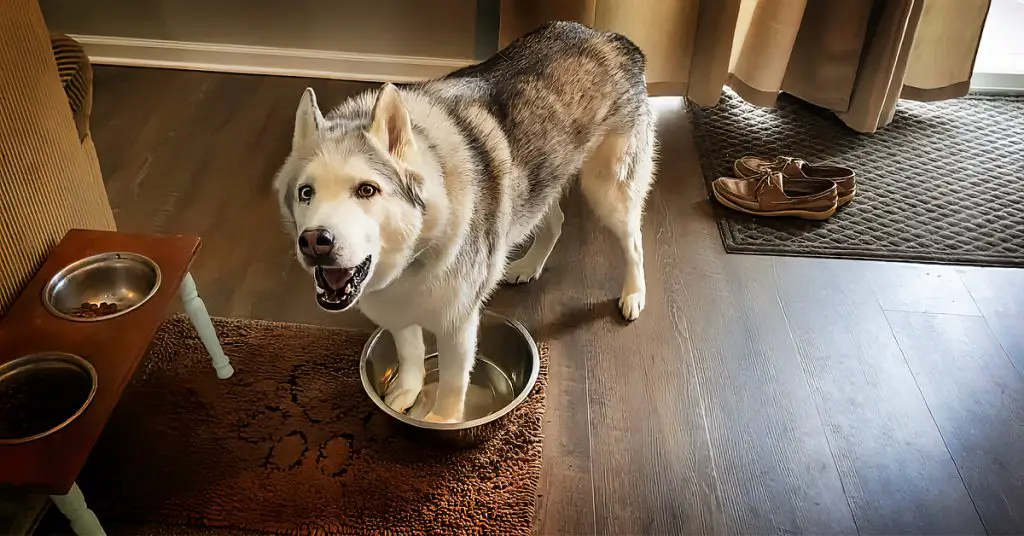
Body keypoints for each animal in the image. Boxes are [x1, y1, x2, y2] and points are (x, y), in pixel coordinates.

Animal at [274, 21, 655, 424]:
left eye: (366, 189)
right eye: (305, 193)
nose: (315, 241)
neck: (416, 250)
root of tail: (609, 37)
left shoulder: (458, 323)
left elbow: (453, 383)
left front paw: (442, 420)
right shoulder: (397, 310)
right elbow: (409, 351)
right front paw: (407, 391)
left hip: (609, 190)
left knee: (634, 243)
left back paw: (634, 294)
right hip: (537, 184)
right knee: (555, 221)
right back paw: (530, 265)